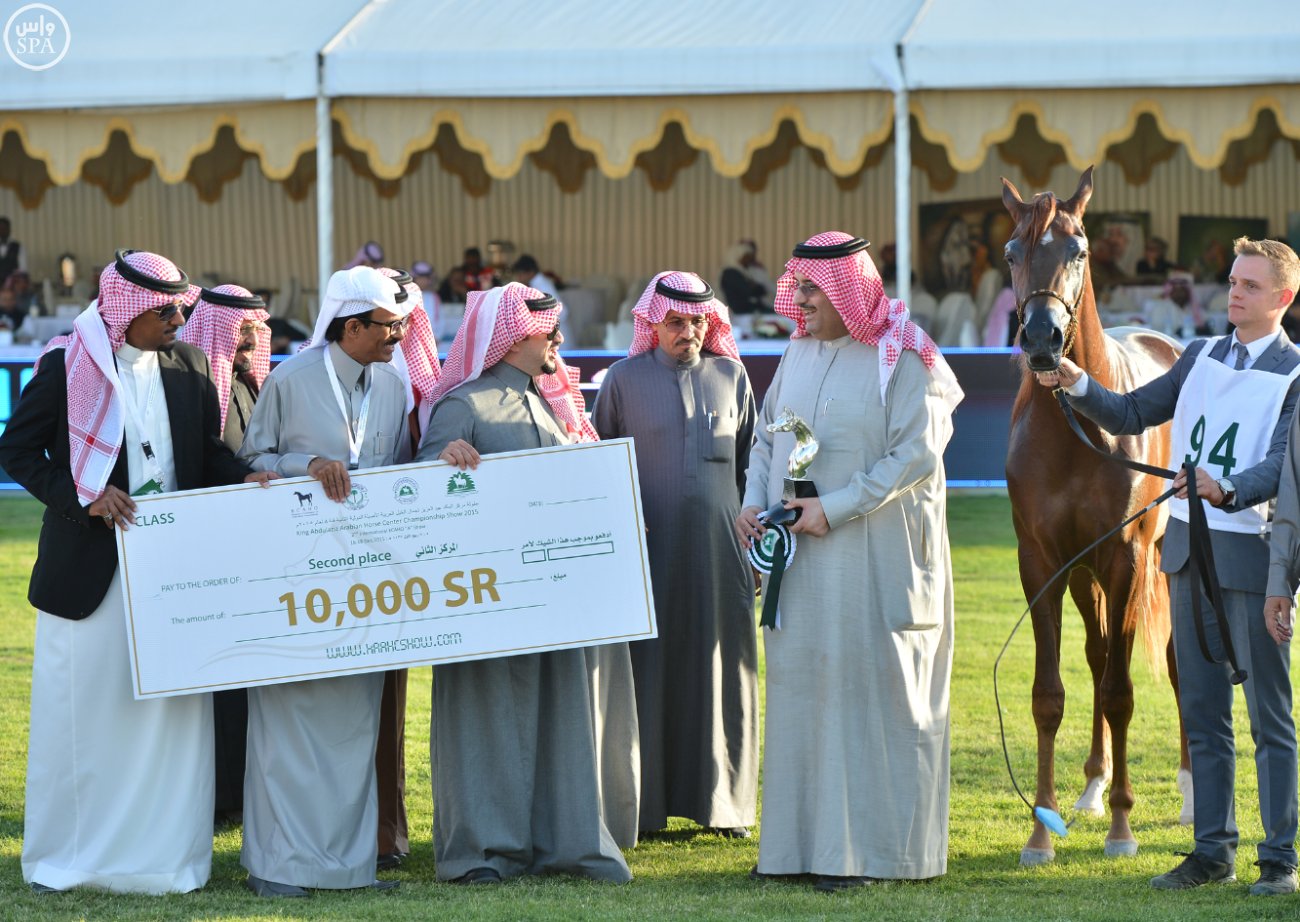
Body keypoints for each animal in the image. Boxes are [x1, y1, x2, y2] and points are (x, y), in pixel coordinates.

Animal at [1003, 169, 1190, 868]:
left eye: (1079, 248)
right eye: (1011, 251)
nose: (1041, 340)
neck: (1075, 429)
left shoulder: (1125, 558)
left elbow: (1120, 692)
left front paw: (1122, 829)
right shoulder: (1044, 565)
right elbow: (1050, 694)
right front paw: (1041, 832)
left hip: (1161, 563)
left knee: (1170, 662)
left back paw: (1189, 796)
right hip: (1086, 578)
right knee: (1096, 650)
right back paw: (1090, 786)